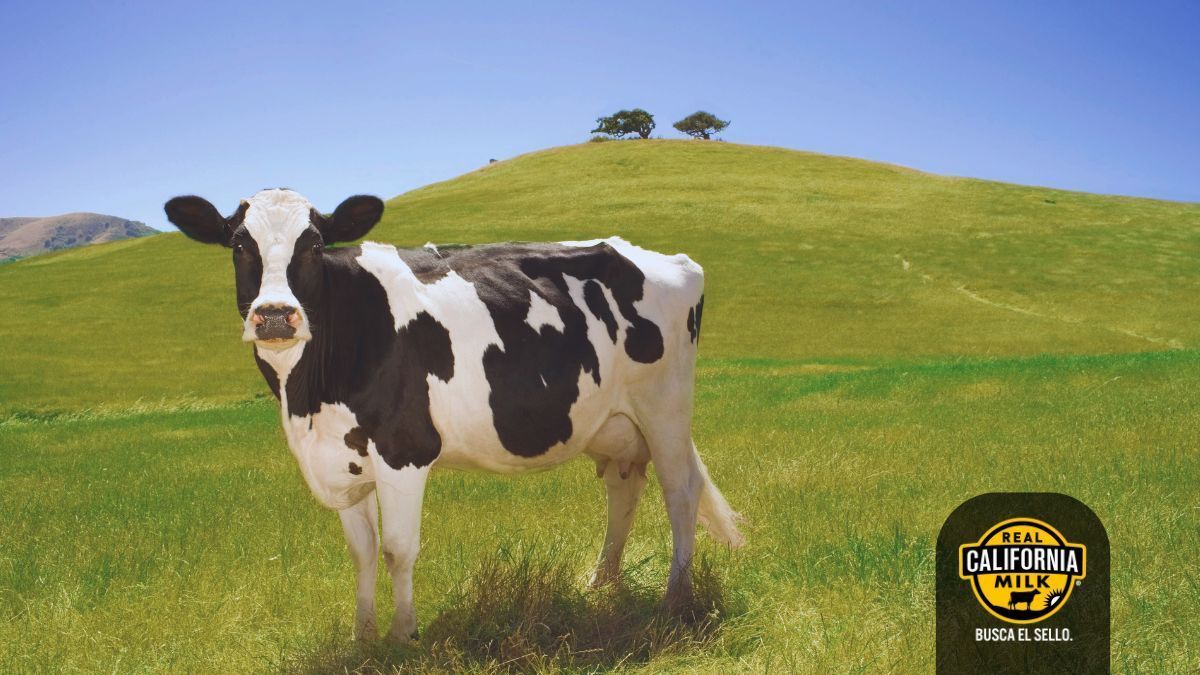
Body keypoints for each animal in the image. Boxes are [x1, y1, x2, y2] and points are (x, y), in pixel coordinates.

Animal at [164, 188, 743, 641]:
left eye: (314, 245)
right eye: (240, 245)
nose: (275, 316)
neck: (306, 400)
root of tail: (665, 257)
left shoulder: (404, 449)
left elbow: (397, 549)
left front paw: (404, 636)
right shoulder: (340, 458)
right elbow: (363, 552)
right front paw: (363, 637)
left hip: (664, 405)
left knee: (680, 491)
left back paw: (675, 597)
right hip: (612, 421)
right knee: (625, 488)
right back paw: (601, 583)